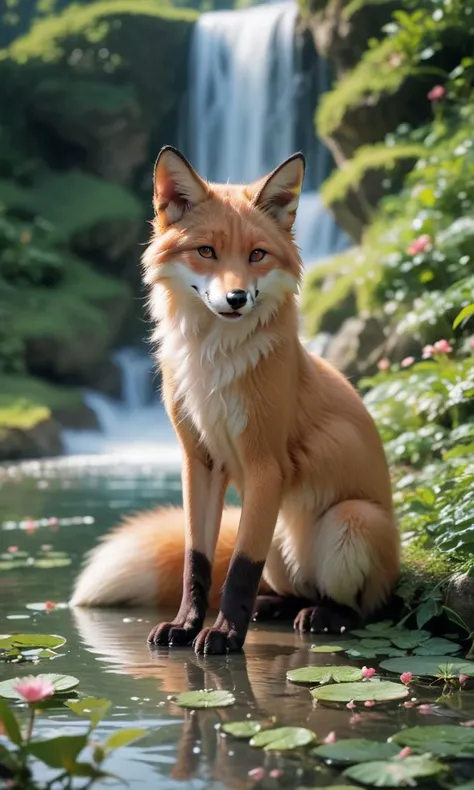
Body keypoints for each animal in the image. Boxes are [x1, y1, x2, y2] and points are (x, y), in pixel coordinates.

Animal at [71, 147, 400, 656]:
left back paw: (327, 616)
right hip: (280, 539)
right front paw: (186, 625)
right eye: (206, 251)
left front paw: (225, 633)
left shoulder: (266, 466)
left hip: (351, 521)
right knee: (291, 587)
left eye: (257, 255)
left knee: (369, 608)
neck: (213, 365)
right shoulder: (198, 461)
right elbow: (198, 561)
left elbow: (241, 569)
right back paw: (277, 606)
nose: (237, 297)